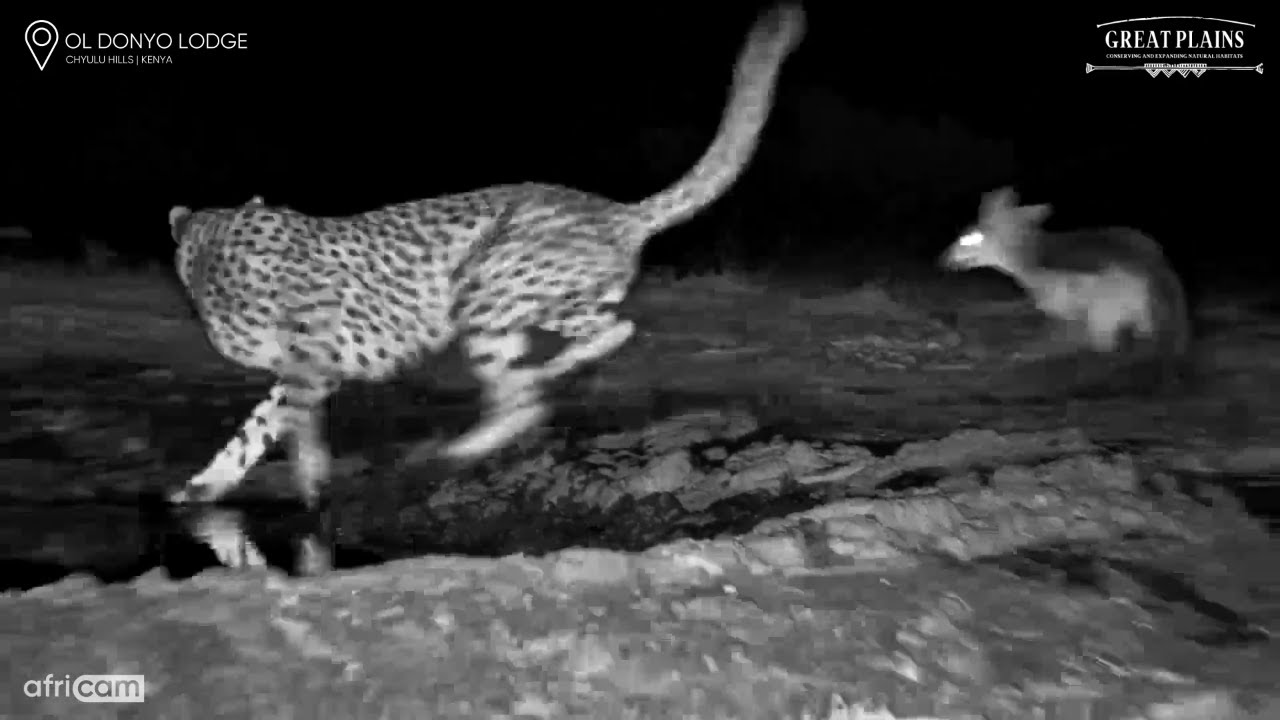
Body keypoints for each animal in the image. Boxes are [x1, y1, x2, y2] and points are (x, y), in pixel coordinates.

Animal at [165, 3, 806, 510]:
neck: (215, 247)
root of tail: (616, 211)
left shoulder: (310, 362)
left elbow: (294, 428)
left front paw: (308, 483)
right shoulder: (303, 367)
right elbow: (253, 430)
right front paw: (201, 487)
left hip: (482, 288)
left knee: (526, 397)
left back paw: (463, 446)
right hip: (533, 302)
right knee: (604, 333)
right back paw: (552, 370)